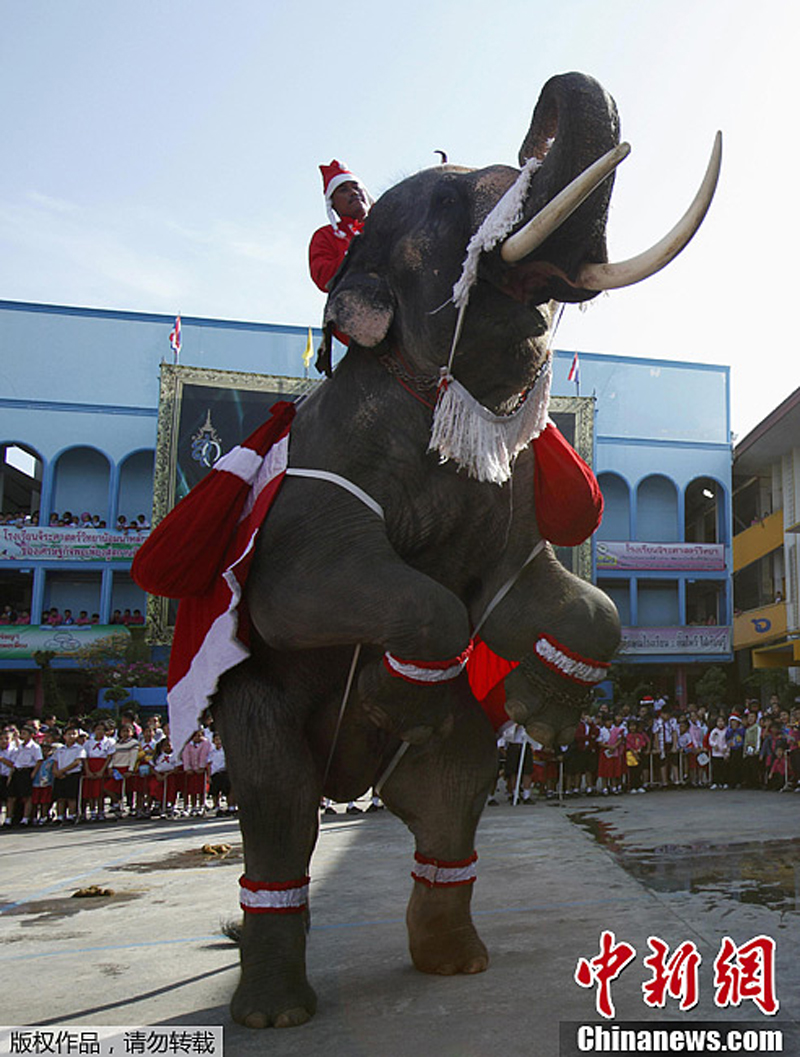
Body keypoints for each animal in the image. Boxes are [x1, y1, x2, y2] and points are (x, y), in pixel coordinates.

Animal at [135, 68, 718, 1023]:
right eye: (449, 198)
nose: (556, 86)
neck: (448, 397)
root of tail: (355, 788)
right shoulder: (315, 489)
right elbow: (312, 594)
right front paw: (392, 695)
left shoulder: (511, 500)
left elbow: (548, 596)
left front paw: (539, 708)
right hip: (256, 712)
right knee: (279, 812)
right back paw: (275, 1008)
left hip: (445, 775)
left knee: (449, 800)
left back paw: (455, 959)